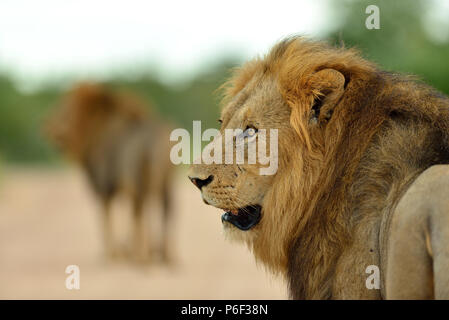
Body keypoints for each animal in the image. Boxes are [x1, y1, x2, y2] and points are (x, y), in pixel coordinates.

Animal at [45, 83, 174, 264]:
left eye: (65, 106)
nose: (47, 124)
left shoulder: (104, 187)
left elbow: (107, 217)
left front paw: (112, 253)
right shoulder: (119, 188)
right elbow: (121, 215)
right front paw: (124, 251)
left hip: (138, 179)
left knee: (141, 211)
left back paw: (144, 256)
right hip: (166, 181)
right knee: (166, 209)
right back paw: (165, 255)